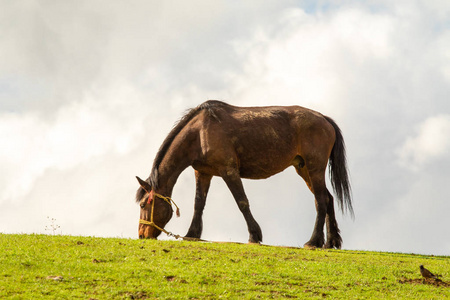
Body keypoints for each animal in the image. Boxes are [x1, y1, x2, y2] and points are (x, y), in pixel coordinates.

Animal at [135, 100, 354, 248]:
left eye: (144, 204)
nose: (142, 235)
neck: (200, 132)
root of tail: (324, 119)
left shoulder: (229, 171)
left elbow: (242, 202)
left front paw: (254, 236)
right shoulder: (203, 173)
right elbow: (199, 204)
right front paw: (192, 234)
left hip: (314, 168)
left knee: (321, 201)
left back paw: (313, 241)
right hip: (304, 169)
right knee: (328, 198)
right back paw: (330, 242)